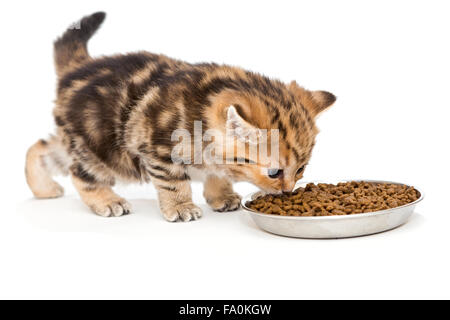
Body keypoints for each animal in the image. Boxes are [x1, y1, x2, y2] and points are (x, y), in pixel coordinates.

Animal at [24, 13, 334, 222]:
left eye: (301, 169)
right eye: (274, 172)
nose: (288, 192)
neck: (201, 107)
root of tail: (78, 70)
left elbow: (216, 172)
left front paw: (221, 195)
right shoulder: (158, 148)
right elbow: (174, 182)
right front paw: (181, 206)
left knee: (42, 147)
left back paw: (43, 188)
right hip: (100, 149)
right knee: (80, 173)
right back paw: (106, 200)